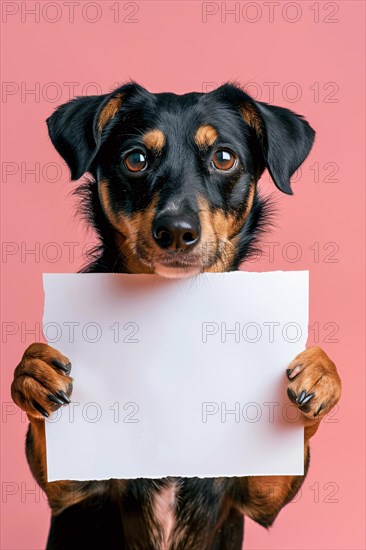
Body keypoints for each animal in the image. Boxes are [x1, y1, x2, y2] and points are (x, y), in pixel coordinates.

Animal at [12, 83, 344, 550]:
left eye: (224, 157)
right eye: (135, 159)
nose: (175, 231)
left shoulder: (261, 494)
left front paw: (321, 374)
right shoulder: (71, 491)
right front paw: (33, 372)